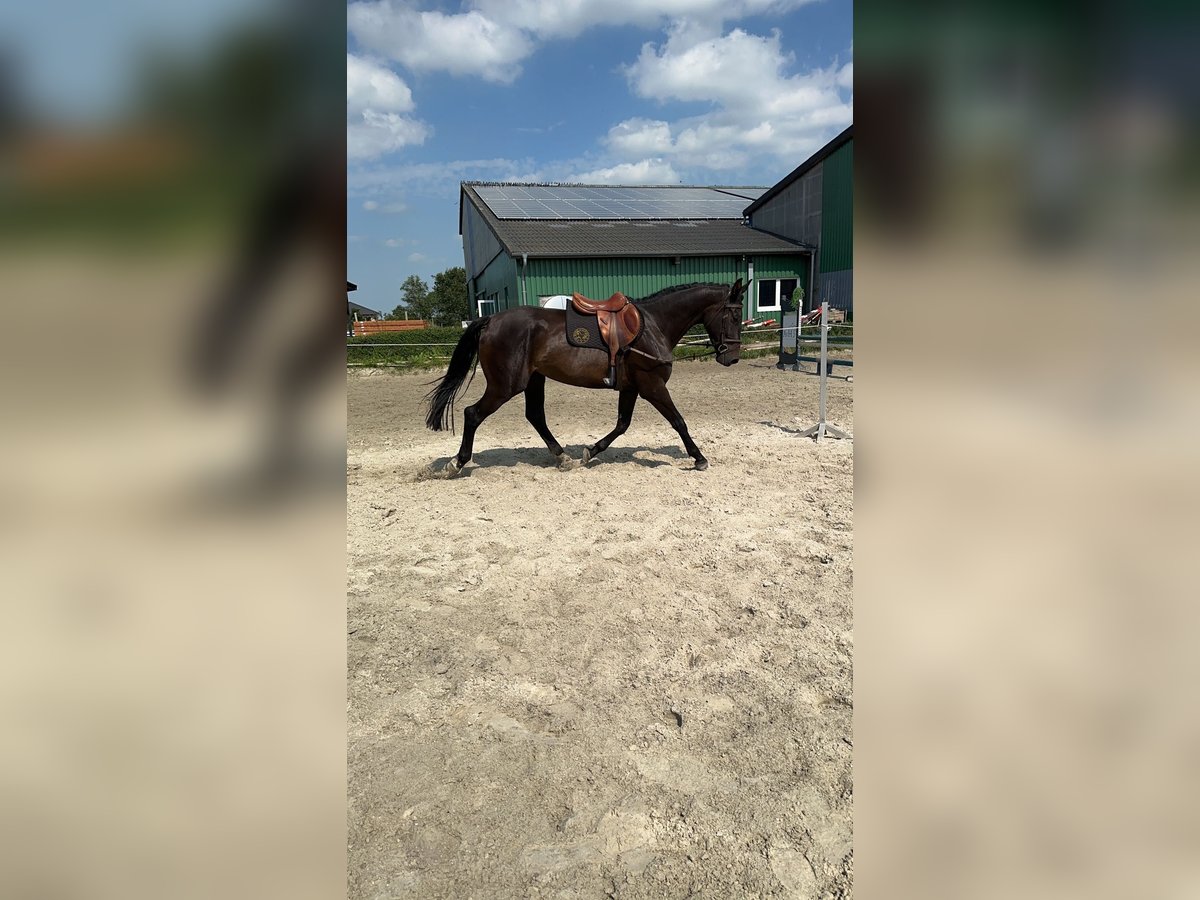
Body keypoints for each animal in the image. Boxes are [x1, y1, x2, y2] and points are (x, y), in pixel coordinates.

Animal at [422, 280, 739, 480]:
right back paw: (456, 464)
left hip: (533, 381)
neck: (652, 326)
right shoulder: (652, 386)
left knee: (535, 416)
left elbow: (622, 425)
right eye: (733, 316)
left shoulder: (631, 388)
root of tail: (491, 320)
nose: (732, 358)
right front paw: (698, 458)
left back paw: (563, 458)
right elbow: (678, 421)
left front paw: (591, 451)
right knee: (473, 414)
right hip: (505, 386)